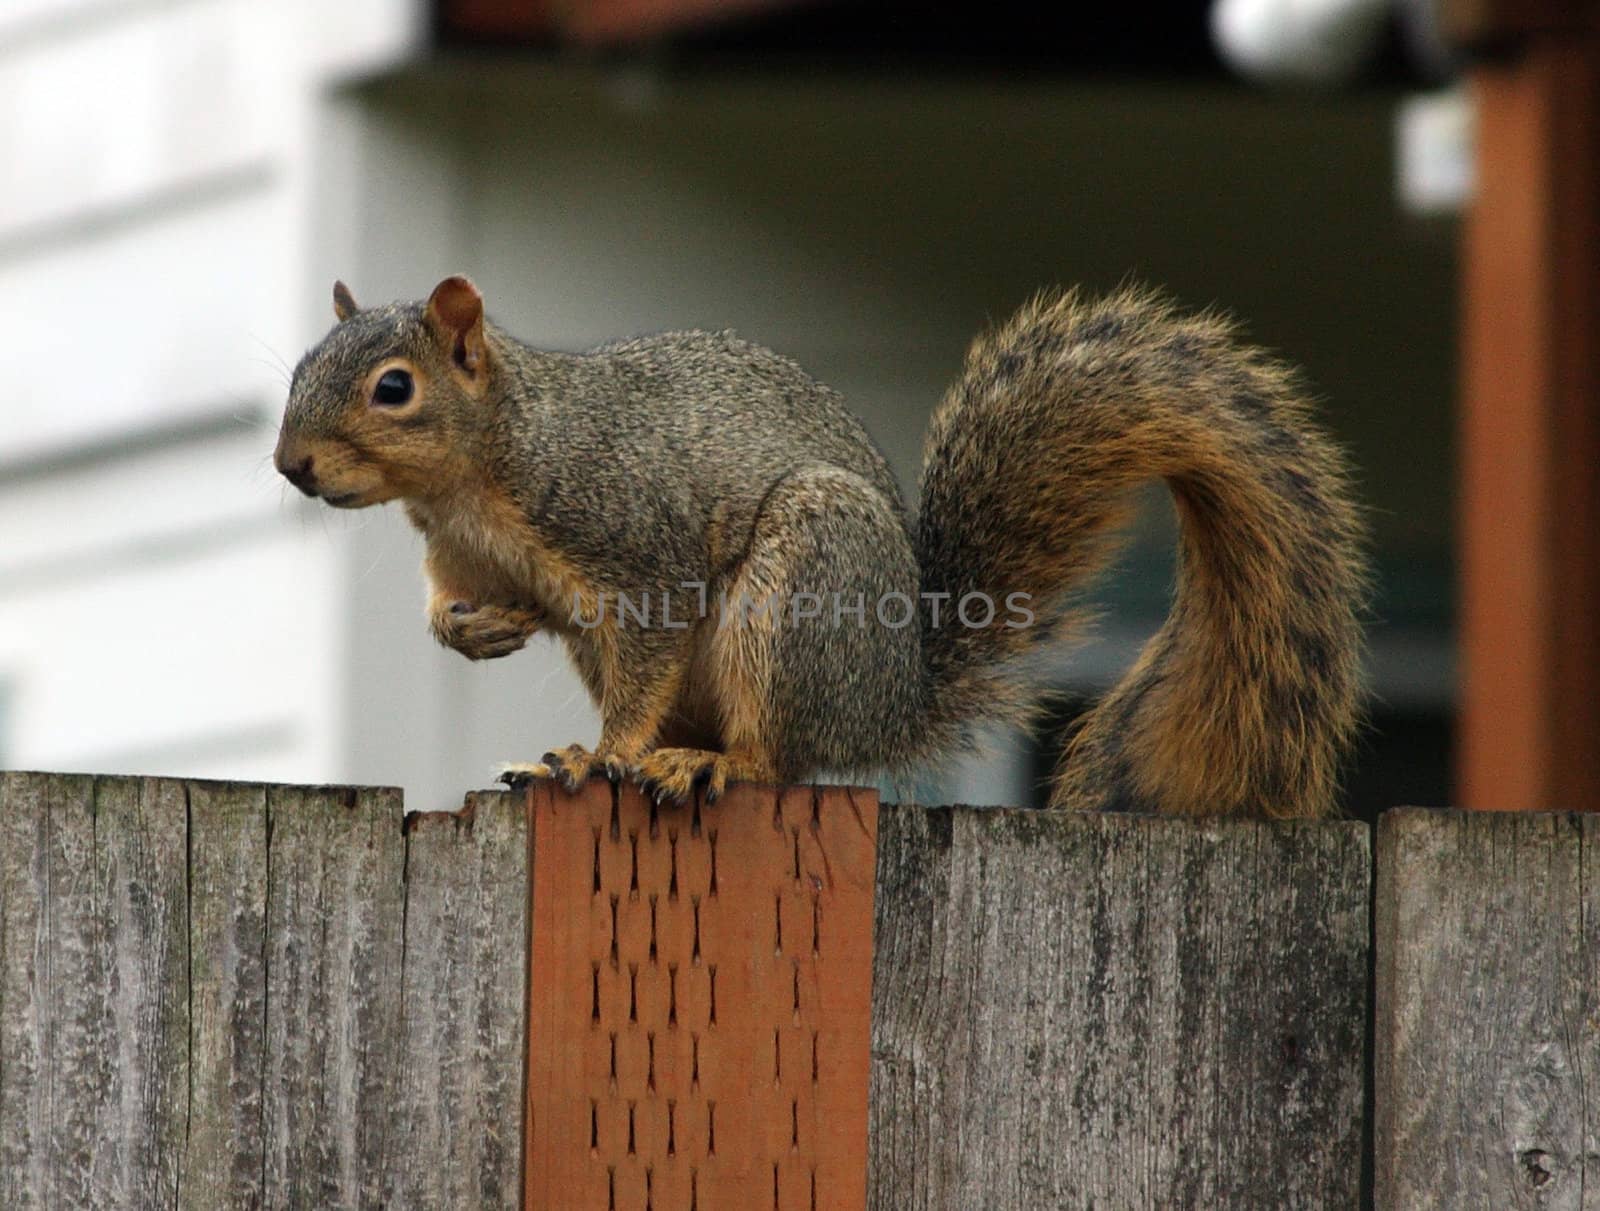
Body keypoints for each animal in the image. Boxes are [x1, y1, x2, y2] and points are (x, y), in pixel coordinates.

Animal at [272, 278, 1363, 815]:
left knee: (778, 760)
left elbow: (646, 654)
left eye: (395, 387)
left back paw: (691, 765)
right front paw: (474, 630)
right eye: (297, 369)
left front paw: (598, 756)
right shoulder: (465, 555)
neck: (472, 480)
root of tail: (894, 698)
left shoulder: (637, 543)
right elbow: (457, 606)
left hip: (801, 589)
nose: (290, 465)